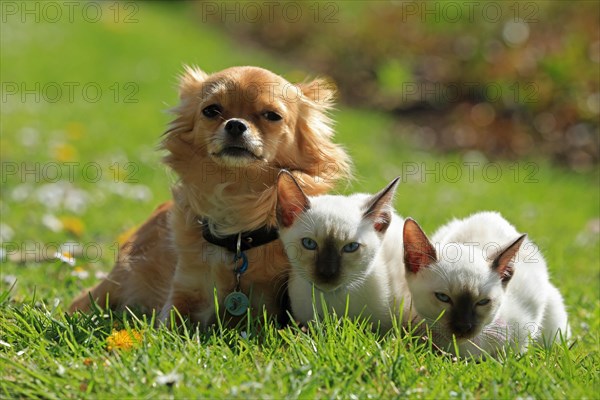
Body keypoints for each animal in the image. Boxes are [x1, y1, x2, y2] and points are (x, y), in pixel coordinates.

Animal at [69, 66, 352, 328]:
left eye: (272, 115)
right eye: (211, 111)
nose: (236, 124)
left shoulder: (266, 308)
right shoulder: (183, 290)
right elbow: (166, 329)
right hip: (114, 283)